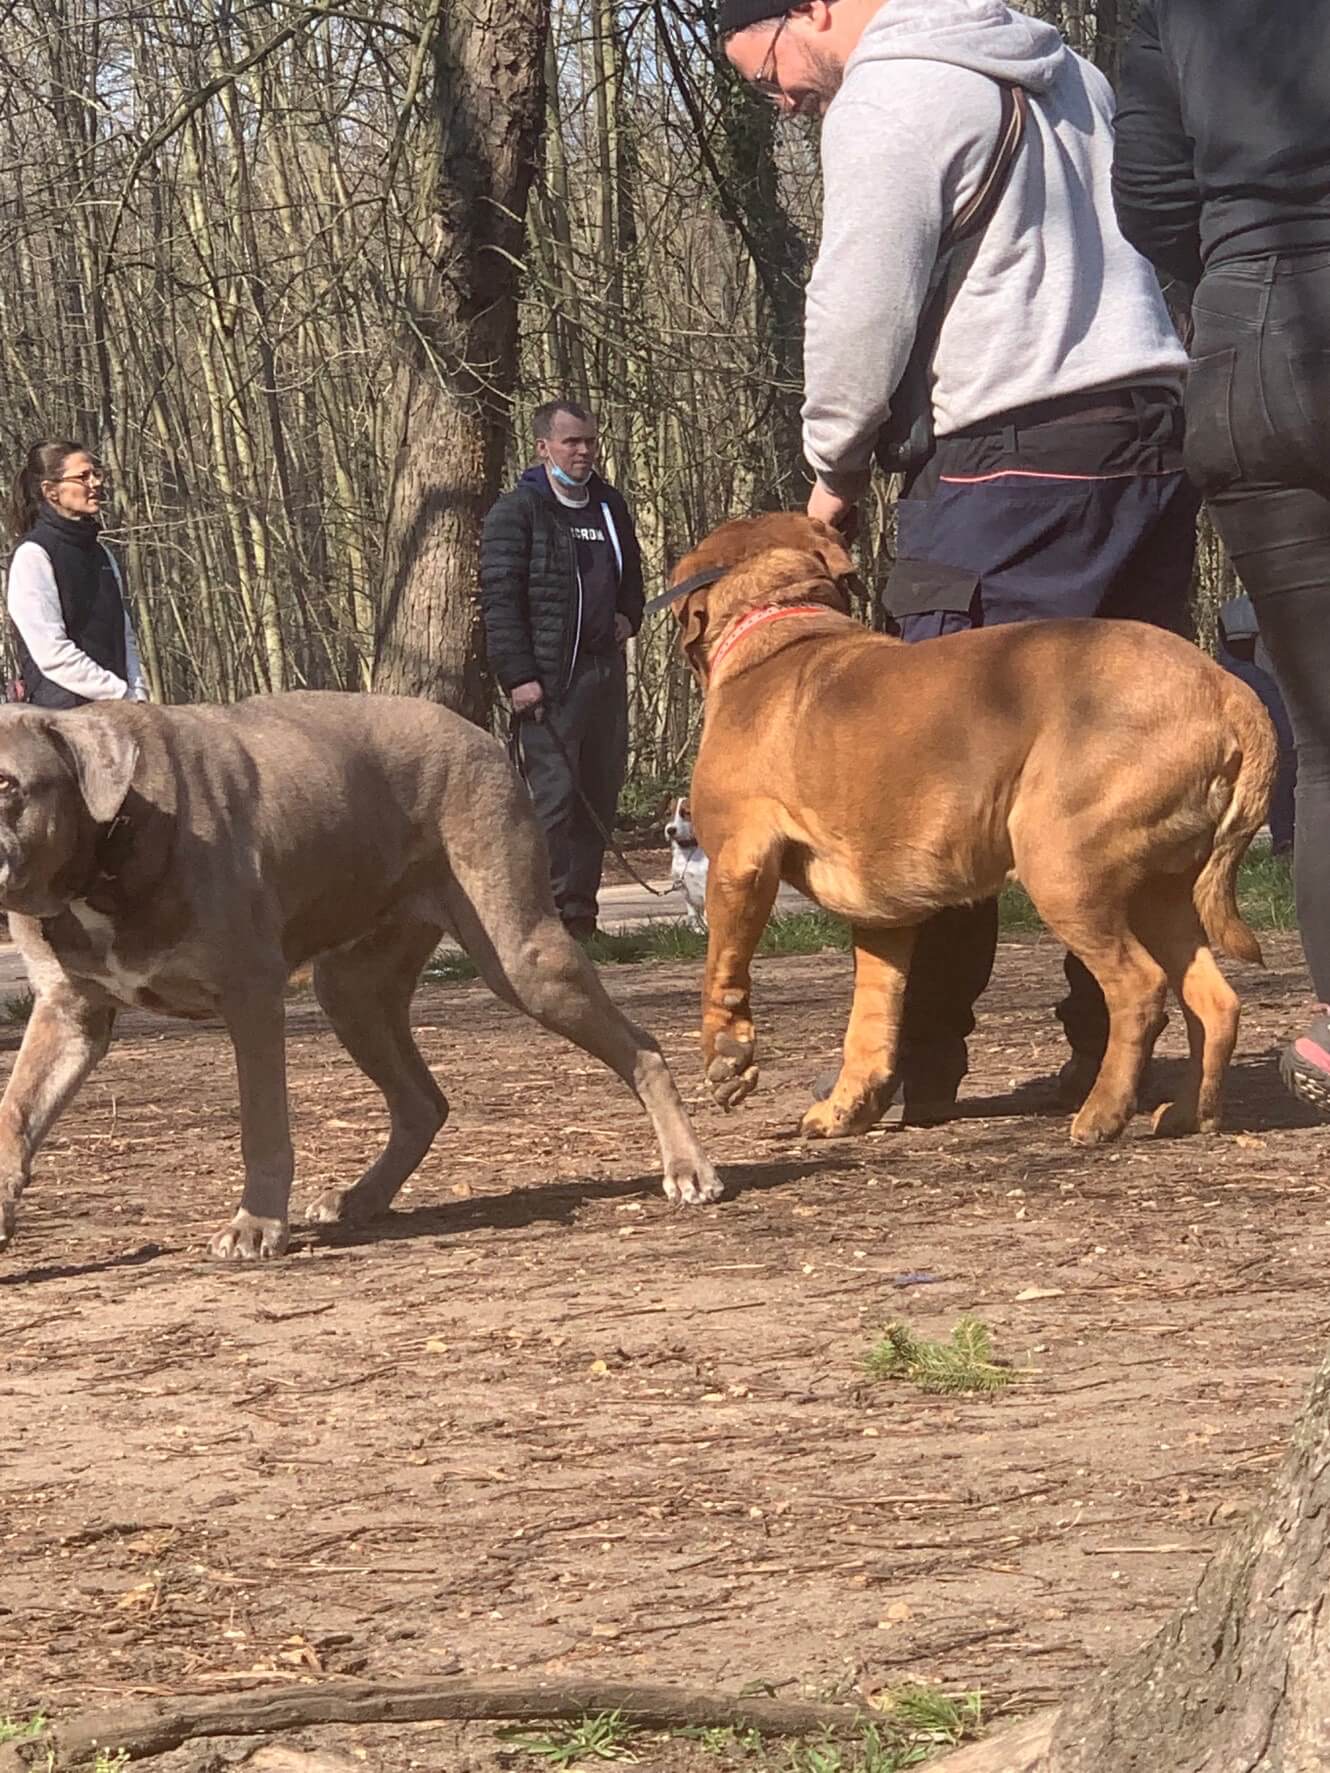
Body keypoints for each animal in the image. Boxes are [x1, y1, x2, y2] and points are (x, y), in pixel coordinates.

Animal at [663, 801, 709, 936]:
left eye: (686, 813)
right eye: (668, 813)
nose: (670, 830)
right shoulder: (684, 889)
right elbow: (692, 914)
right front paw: (697, 931)